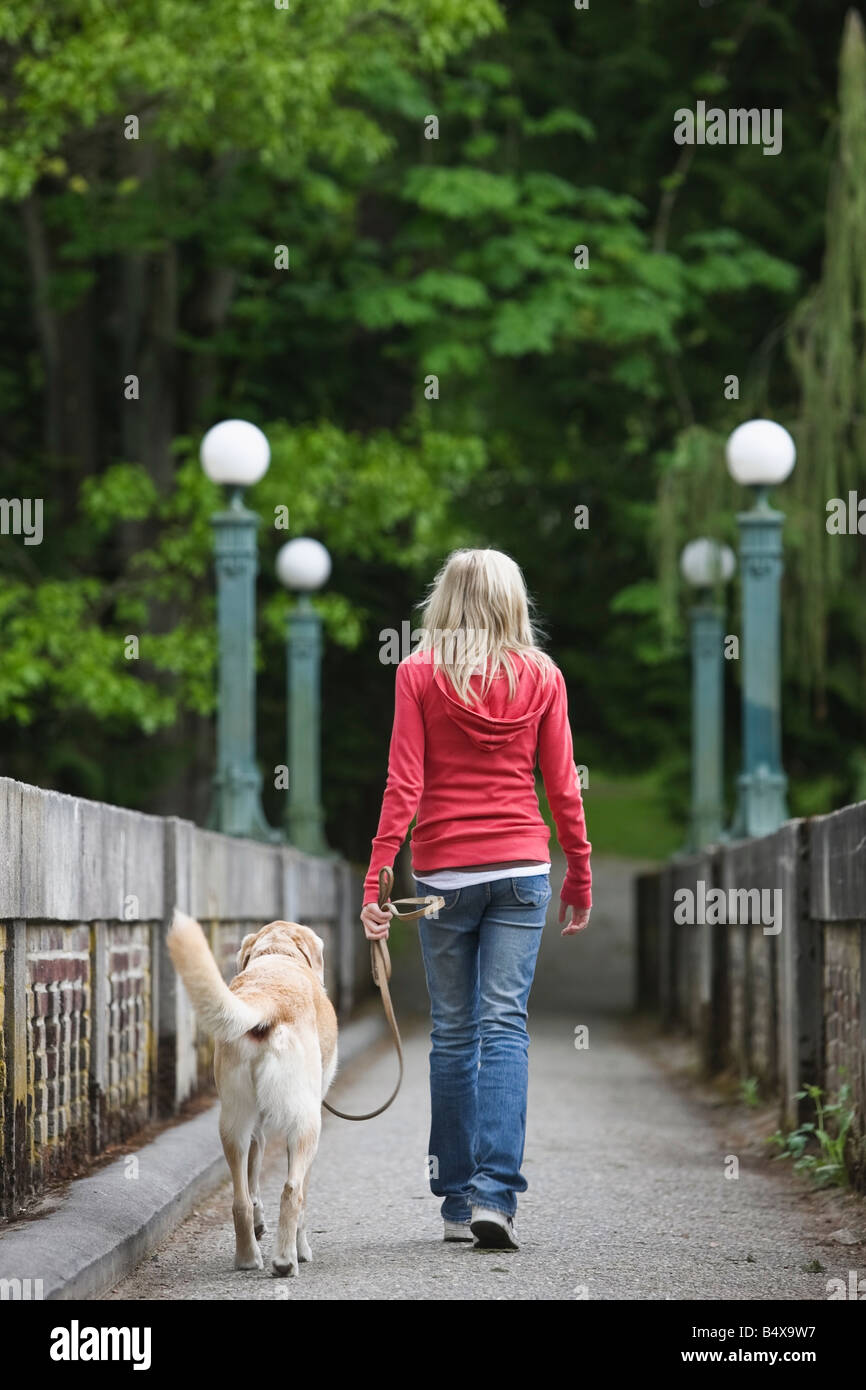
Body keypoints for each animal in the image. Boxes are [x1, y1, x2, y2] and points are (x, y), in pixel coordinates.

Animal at [167, 906, 337, 1273]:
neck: (278, 955)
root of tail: (267, 1000)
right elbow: (302, 1194)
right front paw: (302, 1249)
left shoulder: (257, 1128)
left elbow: (254, 1183)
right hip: (307, 1124)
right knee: (291, 1191)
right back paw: (285, 1260)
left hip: (233, 1122)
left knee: (240, 1199)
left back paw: (247, 1256)